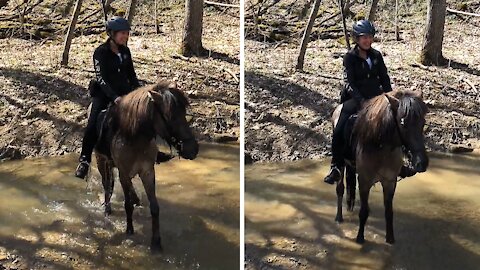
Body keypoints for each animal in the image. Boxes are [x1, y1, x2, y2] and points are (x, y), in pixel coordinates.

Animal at [93, 79, 198, 251]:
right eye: (169, 117)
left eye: (184, 113)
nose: (193, 149)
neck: (134, 138)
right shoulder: (123, 173)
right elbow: (127, 204)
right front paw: (129, 230)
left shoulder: (148, 172)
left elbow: (154, 207)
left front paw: (156, 242)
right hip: (101, 161)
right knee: (107, 184)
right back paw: (107, 209)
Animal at [332, 89, 430, 244]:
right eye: (403, 123)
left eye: (423, 122)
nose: (421, 163)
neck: (380, 147)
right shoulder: (364, 181)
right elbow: (364, 211)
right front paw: (360, 238)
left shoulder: (390, 182)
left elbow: (389, 211)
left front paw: (390, 239)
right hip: (340, 165)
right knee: (340, 188)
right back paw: (338, 218)